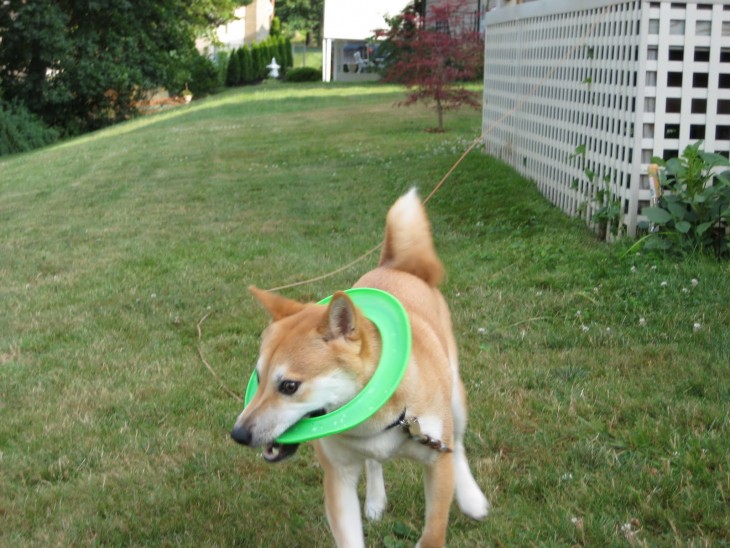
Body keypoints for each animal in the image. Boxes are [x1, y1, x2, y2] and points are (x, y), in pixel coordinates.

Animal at [230, 189, 486, 548]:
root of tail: (395, 266)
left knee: (458, 444)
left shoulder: (437, 462)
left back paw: (471, 497)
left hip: (455, 398)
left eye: (290, 386)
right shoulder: (338, 477)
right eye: (258, 376)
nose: (237, 434)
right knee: (375, 462)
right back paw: (376, 499)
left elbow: (434, 531)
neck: (381, 420)